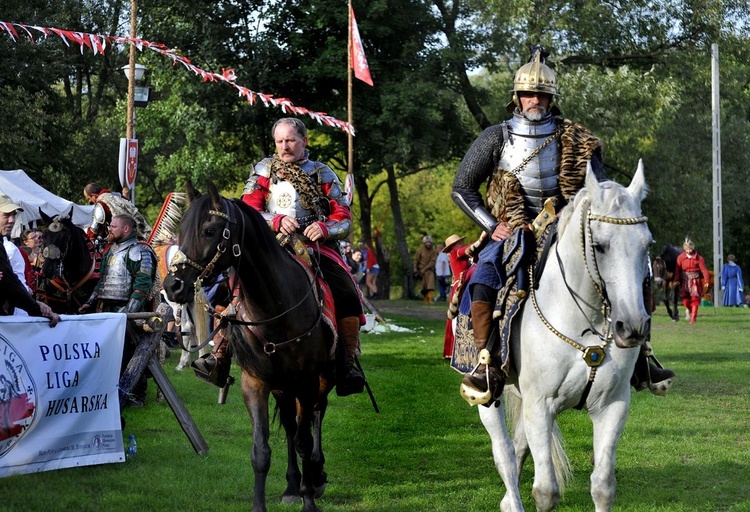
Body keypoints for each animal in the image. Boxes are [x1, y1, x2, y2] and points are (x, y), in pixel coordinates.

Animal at [164, 182, 334, 512]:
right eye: (181, 230)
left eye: (209, 230)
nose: (172, 286)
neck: (275, 307)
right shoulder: (255, 382)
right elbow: (261, 450)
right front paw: (267, 501)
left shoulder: (307, 380)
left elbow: (305, 440)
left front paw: (309, 499)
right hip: (282, 385)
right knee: (291, 425)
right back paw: (292, 486)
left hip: (319, 380)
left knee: (316, 418)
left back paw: (316, 476)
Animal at [478, 161, 656, 512]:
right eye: (599, 245)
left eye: (647, 245)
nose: (632, 327)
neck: (584, 325)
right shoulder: (540, 406)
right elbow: (546, 491)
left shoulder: (612, 405)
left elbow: (603, 487)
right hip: (487, 396)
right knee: (504, 454)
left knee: (518, 447)